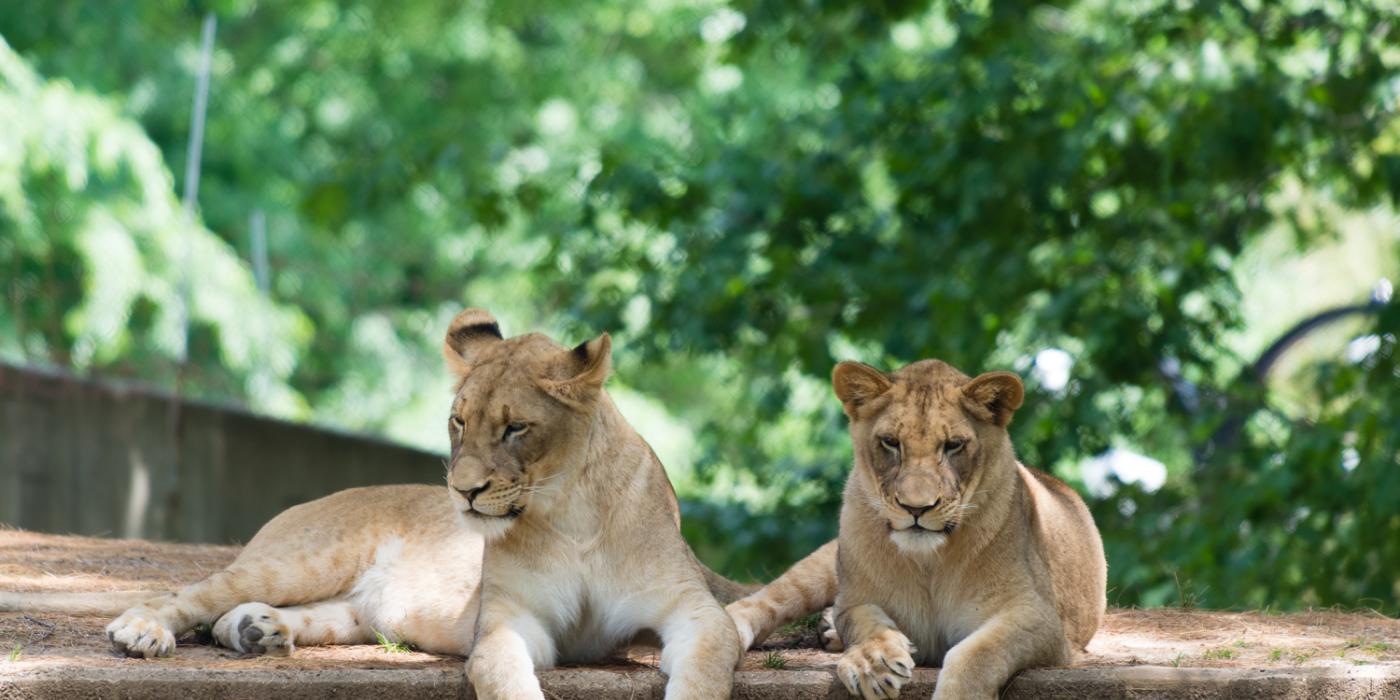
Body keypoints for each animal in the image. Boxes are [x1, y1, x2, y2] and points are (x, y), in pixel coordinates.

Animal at [0, 312, 750, 700]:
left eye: (515, 428)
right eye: (457, 422)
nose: (462, 491)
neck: (571, 515)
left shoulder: (692, 609)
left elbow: (707, 667)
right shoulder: (512, 622)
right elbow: (506, 673)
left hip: (355, 609)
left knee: (284, 616)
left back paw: (256, 632)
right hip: (299, 559)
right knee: (187, 592)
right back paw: (144, 631)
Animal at [722, 358, 1103, 697]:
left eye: (953, 445)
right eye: (891, 442)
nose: (916, 507)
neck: (929, 561)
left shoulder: (1038, 618)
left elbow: (975, 655)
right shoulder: (855, 599)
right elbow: (863, 622)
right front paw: (873, 663)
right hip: (823, 566)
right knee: (762, 601)